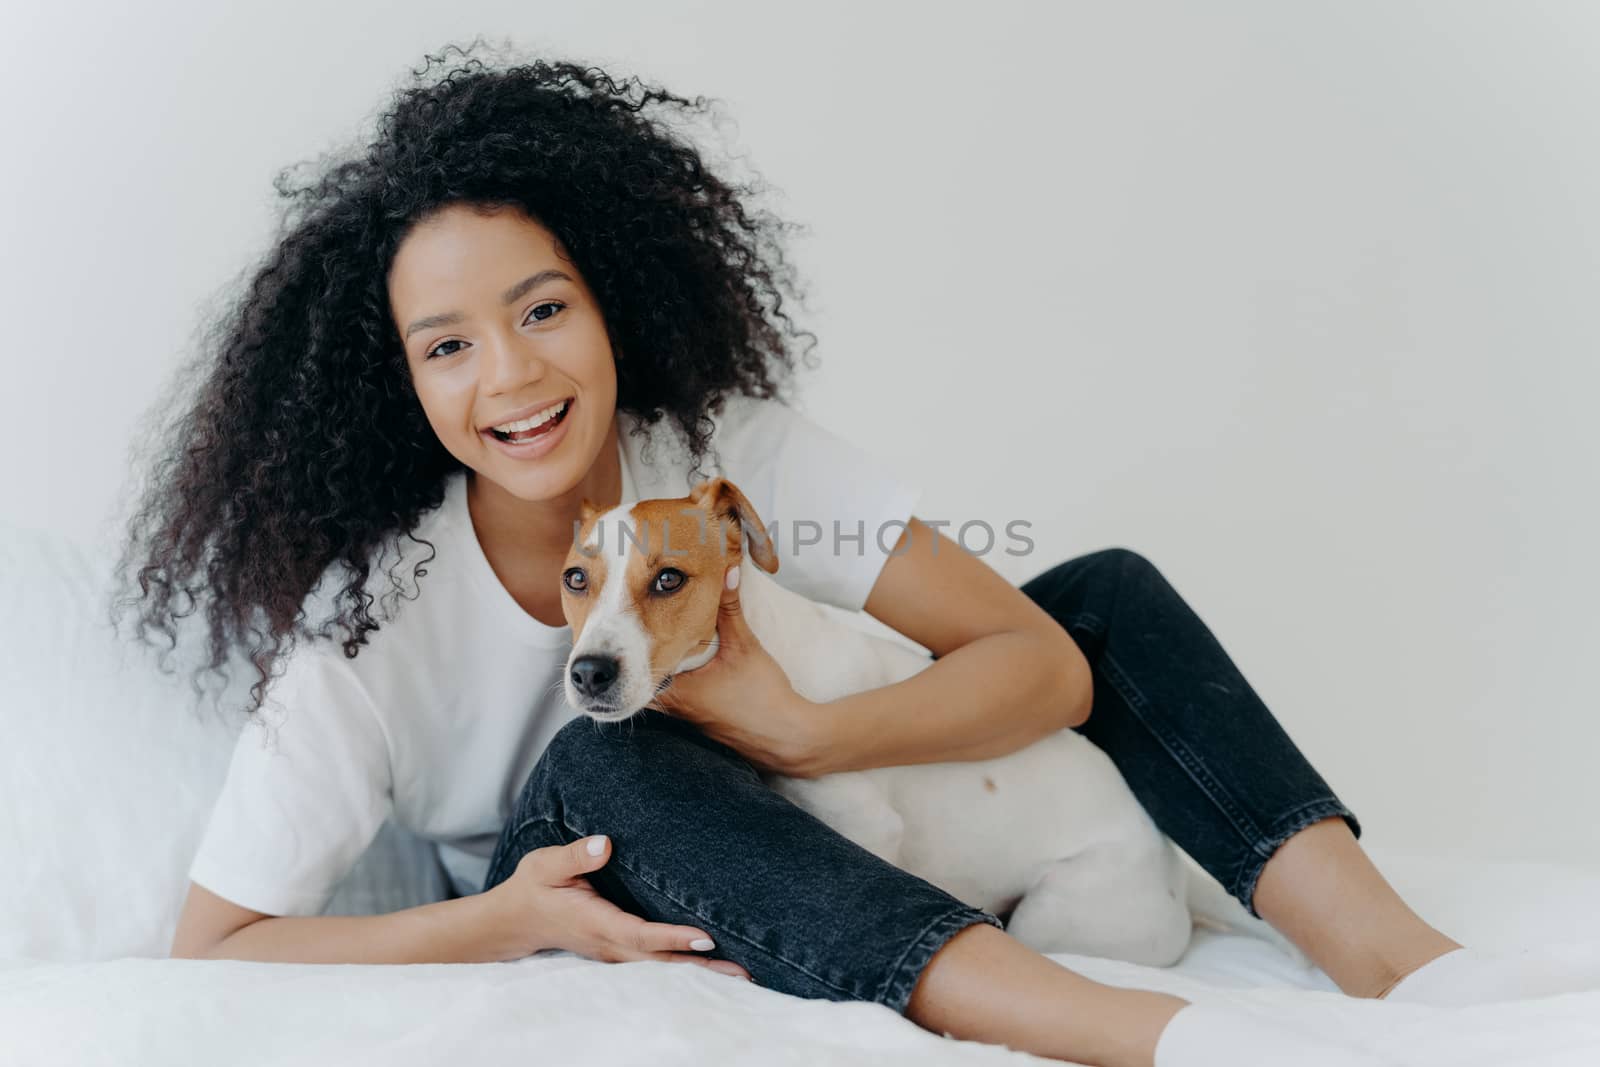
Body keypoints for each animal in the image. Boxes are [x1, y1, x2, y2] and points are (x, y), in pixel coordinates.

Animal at [556, 479, 1280, 966]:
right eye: (574, 579)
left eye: (669, 579)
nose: (588, 672)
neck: (777, 649)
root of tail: (1171, 864)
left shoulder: (869, 828)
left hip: (1058, 911)